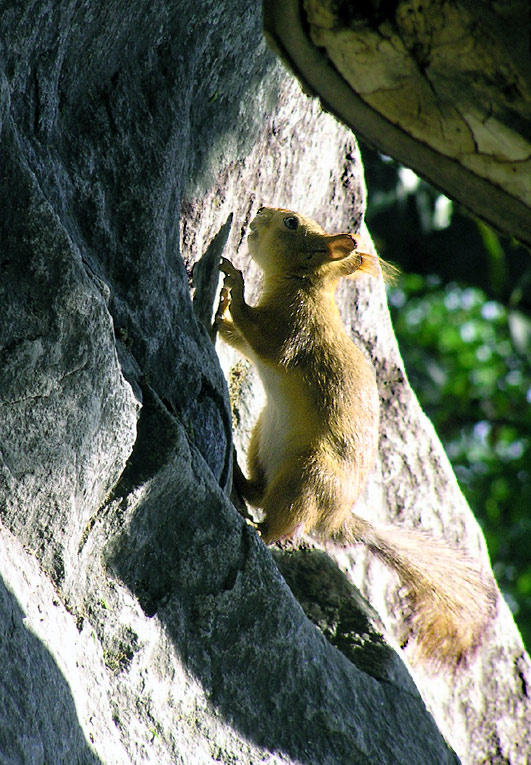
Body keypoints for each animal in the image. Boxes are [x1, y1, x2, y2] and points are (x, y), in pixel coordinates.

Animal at [215, 206, 497, 665]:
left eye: (292, 223)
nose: (261, 211)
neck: (303, 287)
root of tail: (337, 518)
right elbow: (238, 337)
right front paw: (221, 302)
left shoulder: (293, 333)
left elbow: (262, 338)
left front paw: (234, 284)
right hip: (263, 440)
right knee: (260, 491)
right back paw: (240, 478)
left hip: (306, 478)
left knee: (284, 523)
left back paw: (260, 532)